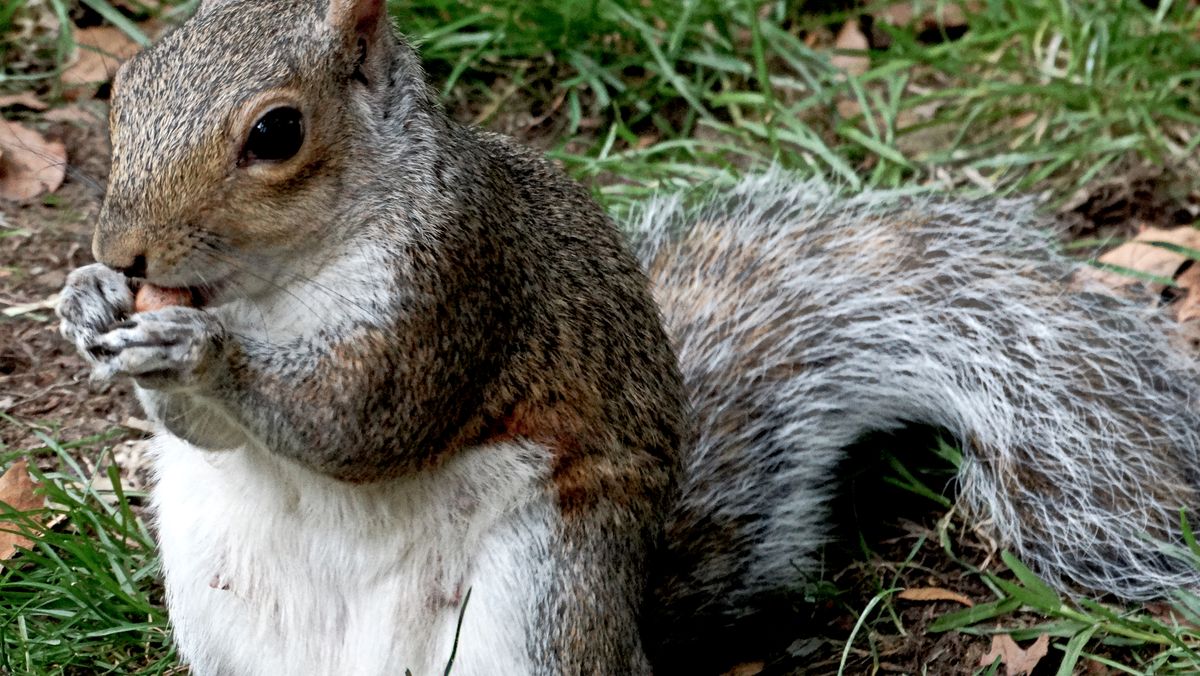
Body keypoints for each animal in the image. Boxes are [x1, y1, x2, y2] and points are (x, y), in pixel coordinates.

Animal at [51, 0, 1200, 672]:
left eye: (277, 132)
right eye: (124, 89)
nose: (126, 250)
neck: (271, 286)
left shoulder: (461, 285)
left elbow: (365, 422)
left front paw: (203, 354)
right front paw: (86, 300)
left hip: (536, 602)